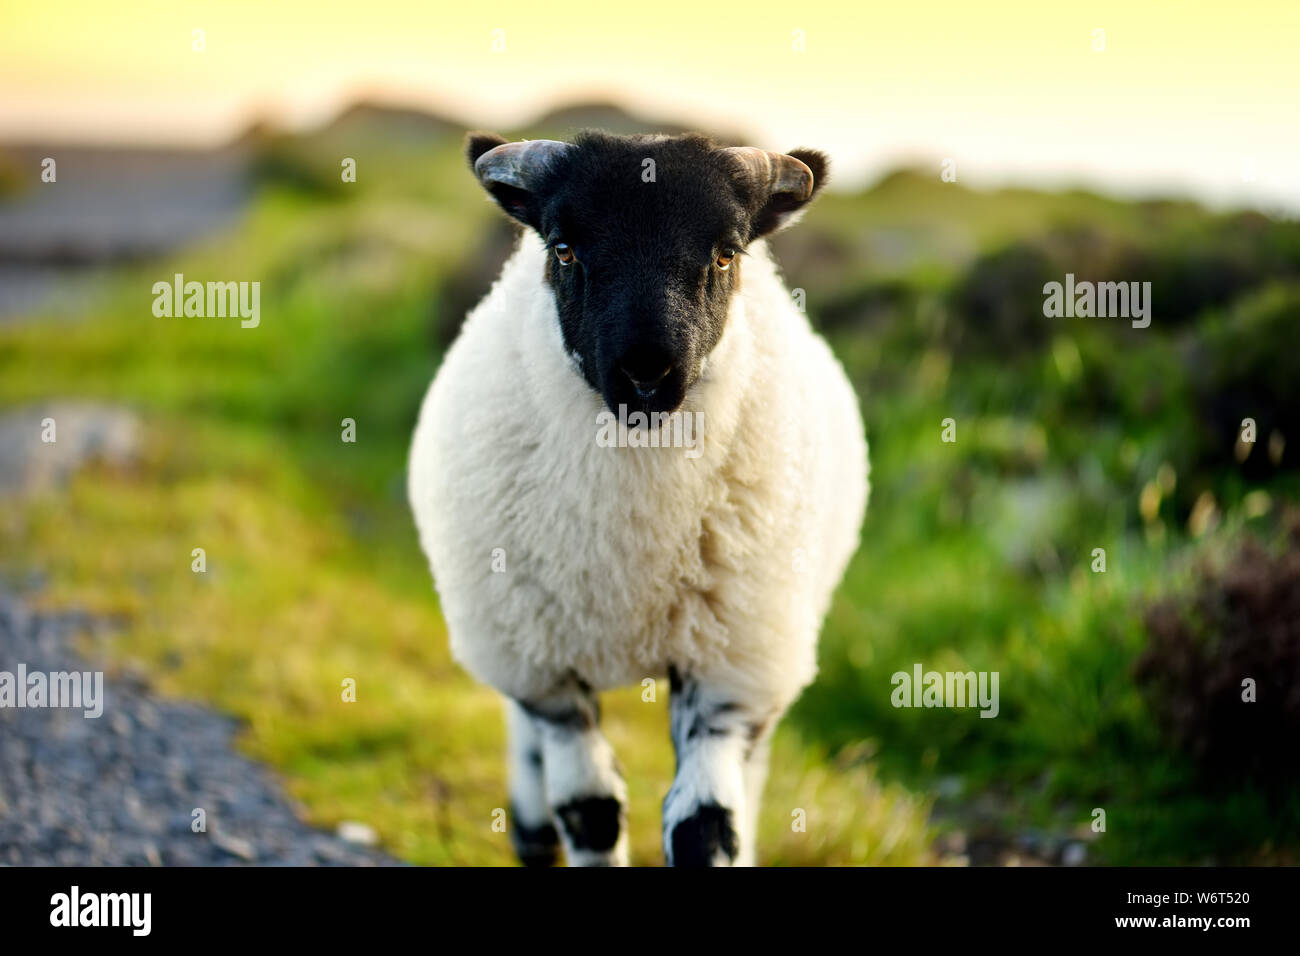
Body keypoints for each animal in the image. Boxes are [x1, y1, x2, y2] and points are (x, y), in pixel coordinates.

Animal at [408, 130, 869, 866]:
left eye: (726, 252)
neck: (633, 553)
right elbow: (591, 810)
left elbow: (705, 823)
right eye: (563, 249)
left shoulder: (727, 670)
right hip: (511, 635)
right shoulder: (552, 676)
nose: (648, 373)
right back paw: (531, 830)